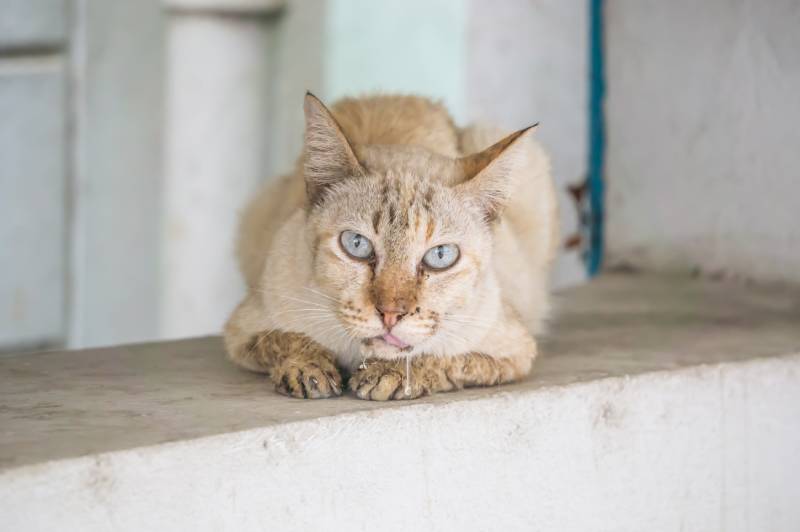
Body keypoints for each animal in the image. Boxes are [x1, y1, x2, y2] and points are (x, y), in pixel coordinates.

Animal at [222, 92, 560, 400]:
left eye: (440, 256)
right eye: (357, 245)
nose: (390, 315)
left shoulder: (515, 351)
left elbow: (440, 357)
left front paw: (388, 374)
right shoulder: (242, 330)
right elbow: (287, 340)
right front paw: (310, 370)